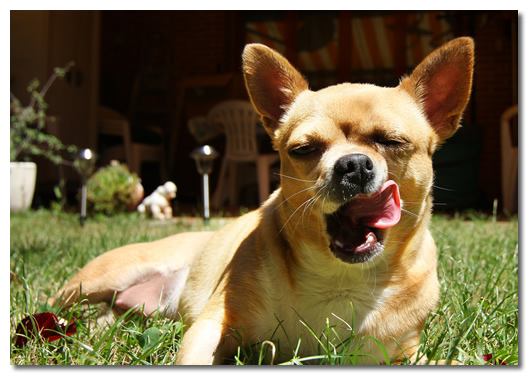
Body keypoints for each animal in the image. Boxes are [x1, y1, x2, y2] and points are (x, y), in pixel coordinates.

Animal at [50, 37, 474, 364]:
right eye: (304, 149)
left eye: (392, 142)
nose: (352, 164)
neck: (340, 280)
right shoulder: (212, 326)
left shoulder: (404, 354)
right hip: (96, 281)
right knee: (57, 305)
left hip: (120, 314)